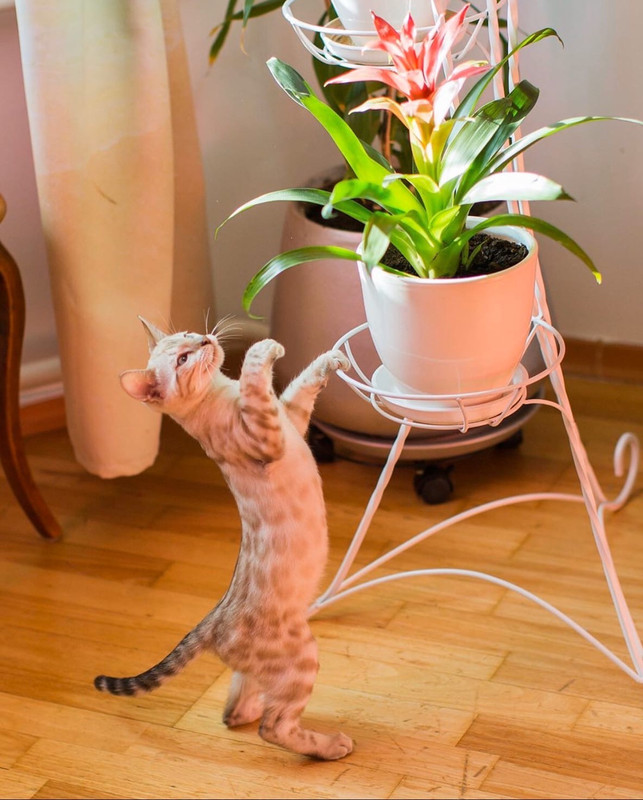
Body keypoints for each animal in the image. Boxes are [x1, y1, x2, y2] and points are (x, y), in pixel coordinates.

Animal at [94, 317, 353, 761]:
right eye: (182, 359)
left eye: (186, 336)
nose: (205, 340)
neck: (222, 392)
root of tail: (213, 621)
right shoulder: (267, 436)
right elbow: (255, 374)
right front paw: (265, 347)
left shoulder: (291, 420)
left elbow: (300, 384)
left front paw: (330, 359)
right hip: (300, 657)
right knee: (274, 727)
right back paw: (331, 746)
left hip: (263, 671)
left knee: (235, 711)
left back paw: (252, 710)